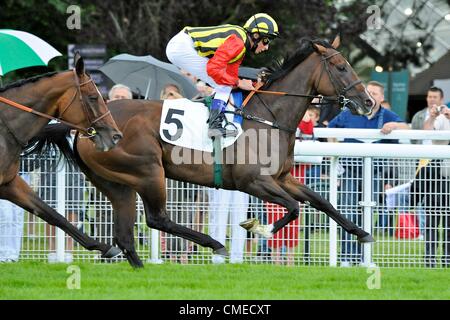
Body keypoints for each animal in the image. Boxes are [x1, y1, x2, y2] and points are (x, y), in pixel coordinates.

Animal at [29, 36, 376, 268]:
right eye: (341, 67)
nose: (369, 102)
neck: (268, 117)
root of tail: (83, 128)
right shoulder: (254, 182)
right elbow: (293, 208)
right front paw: (259, 227)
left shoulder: (282, 178)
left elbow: (320, 201)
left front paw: (361, 232)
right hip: (149, 171)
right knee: (157, 219)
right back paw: (214, 244)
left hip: (115, 182)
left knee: (126, 232)